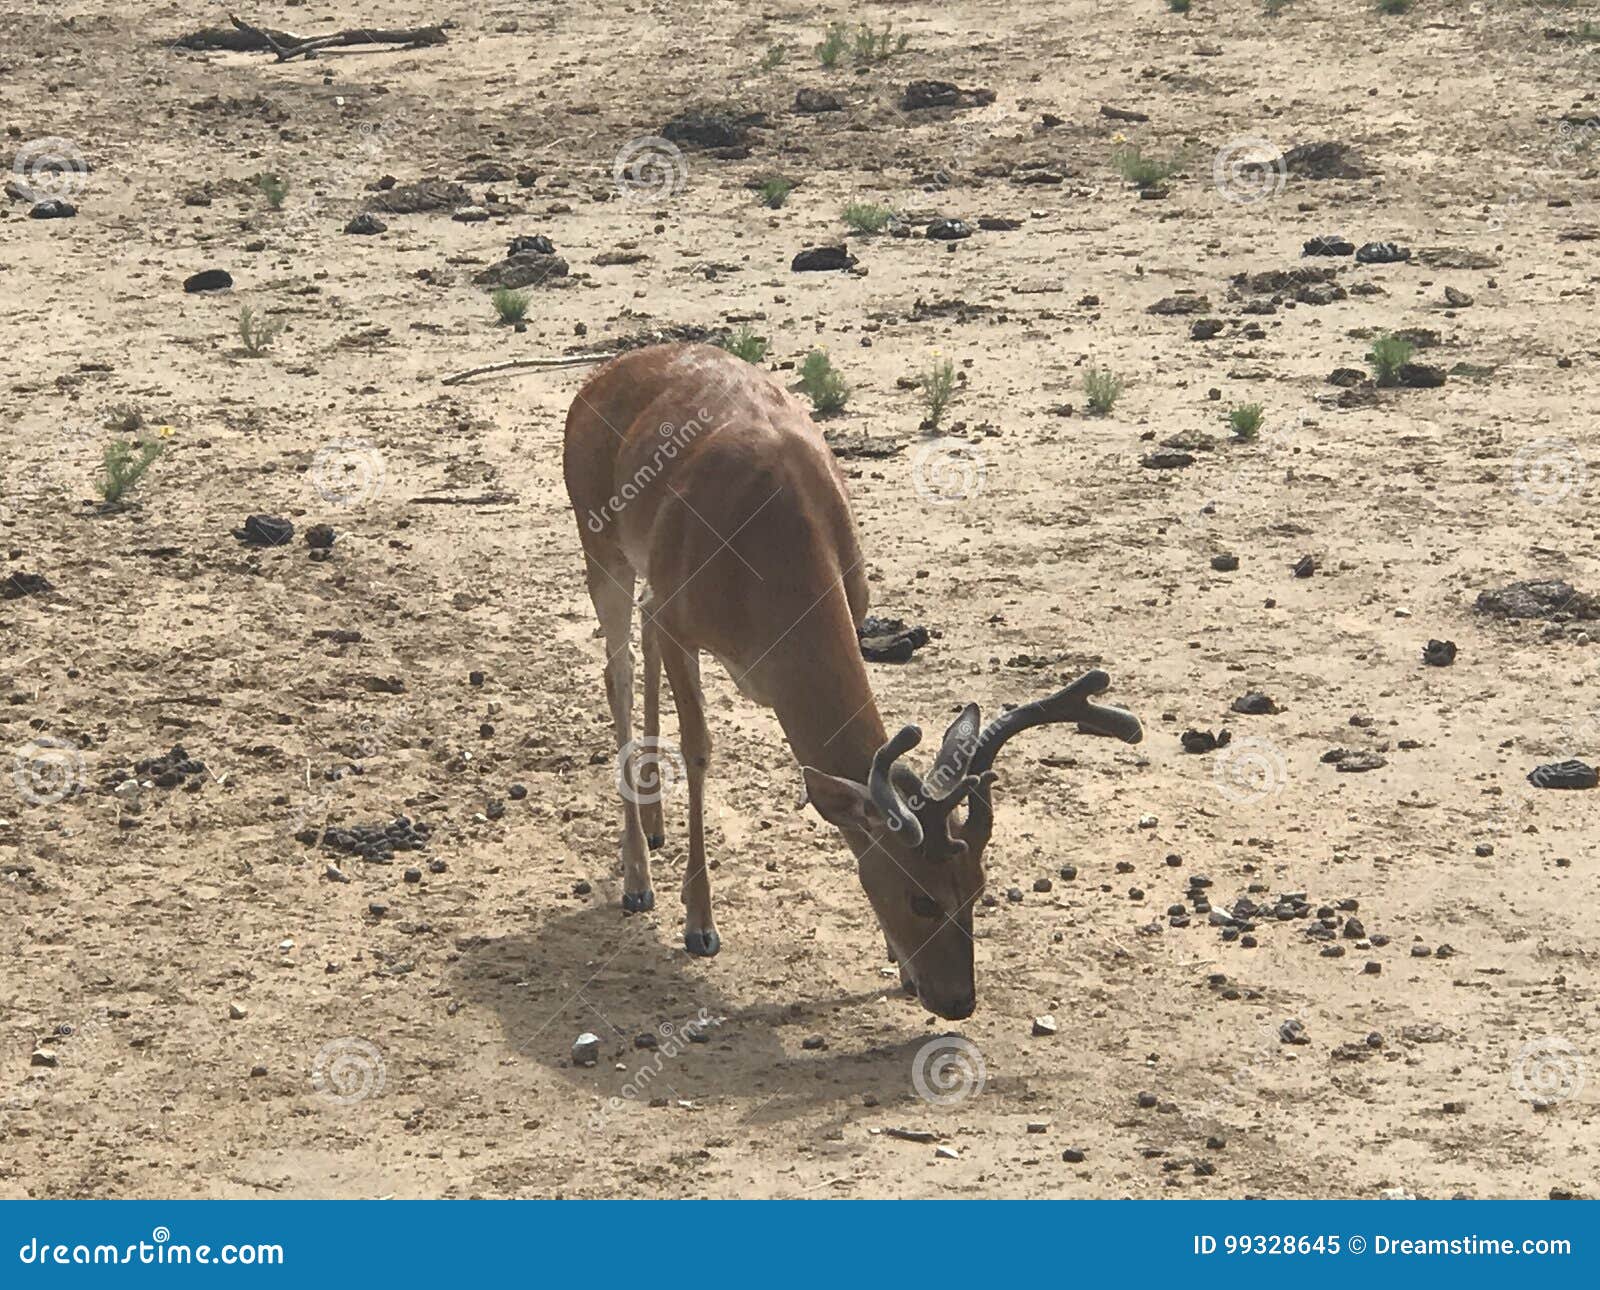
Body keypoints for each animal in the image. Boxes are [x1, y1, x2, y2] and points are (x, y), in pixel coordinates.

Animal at [562, 343, 1142, 1021]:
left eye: (978, 887)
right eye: (921, 896)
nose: (957, 1001)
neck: (768, 560)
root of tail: (600, 376)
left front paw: (897, 963)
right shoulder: (679, 614)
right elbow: (699, 747)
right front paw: (699, 923)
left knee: (641, 658)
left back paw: (654, 829)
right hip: (601, 545)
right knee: (619, 671)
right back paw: (636, 878)